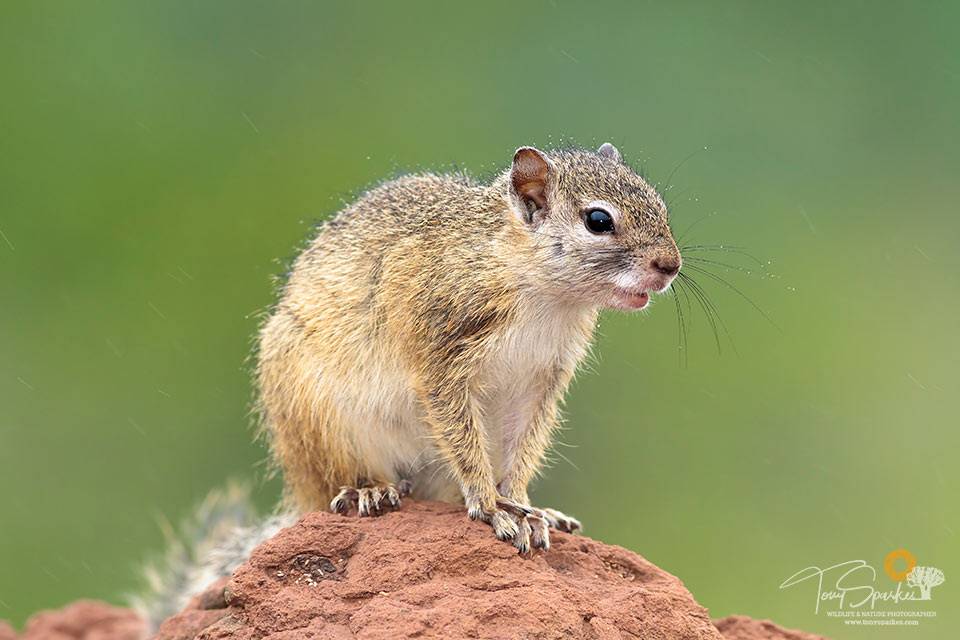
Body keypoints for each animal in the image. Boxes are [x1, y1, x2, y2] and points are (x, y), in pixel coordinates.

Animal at [253, 142, 676, 552]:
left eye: (660, 205)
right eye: (598, 221)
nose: (670, 266)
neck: (543, 296)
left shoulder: (539, 382)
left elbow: (522, 449)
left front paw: (523, 505)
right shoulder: (440, 358)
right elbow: (463, 439)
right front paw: (491, 507)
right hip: (325, 425)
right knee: (336, 482)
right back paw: (368, 491)